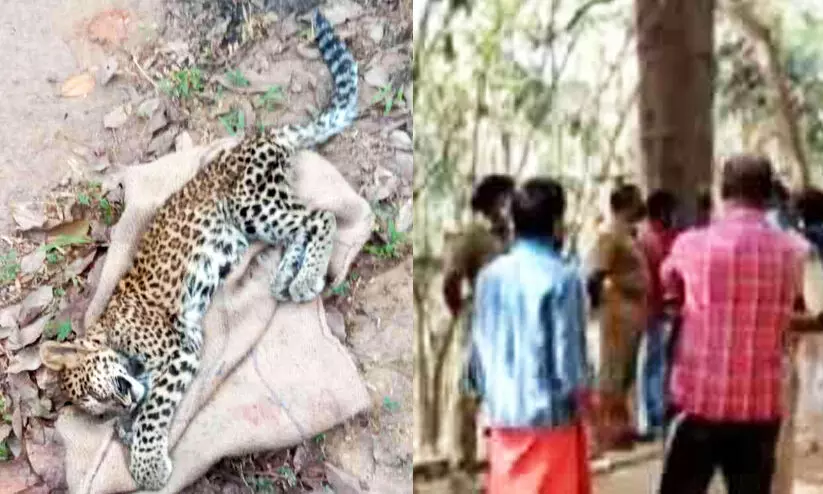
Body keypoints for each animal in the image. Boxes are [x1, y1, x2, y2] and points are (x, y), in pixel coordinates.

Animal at [38, 9, 357, 491]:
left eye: (96, 392)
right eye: (97, 406)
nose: (122, 399)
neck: (108, 332)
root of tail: (259, 138)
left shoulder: (178, 350)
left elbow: (154, 410)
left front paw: (147, 463)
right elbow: (145, 403)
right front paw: (128, 426)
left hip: (252, 203)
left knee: (322, 217)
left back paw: (303, 279)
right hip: (254, 218)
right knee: (299, 228)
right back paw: (285, 277)